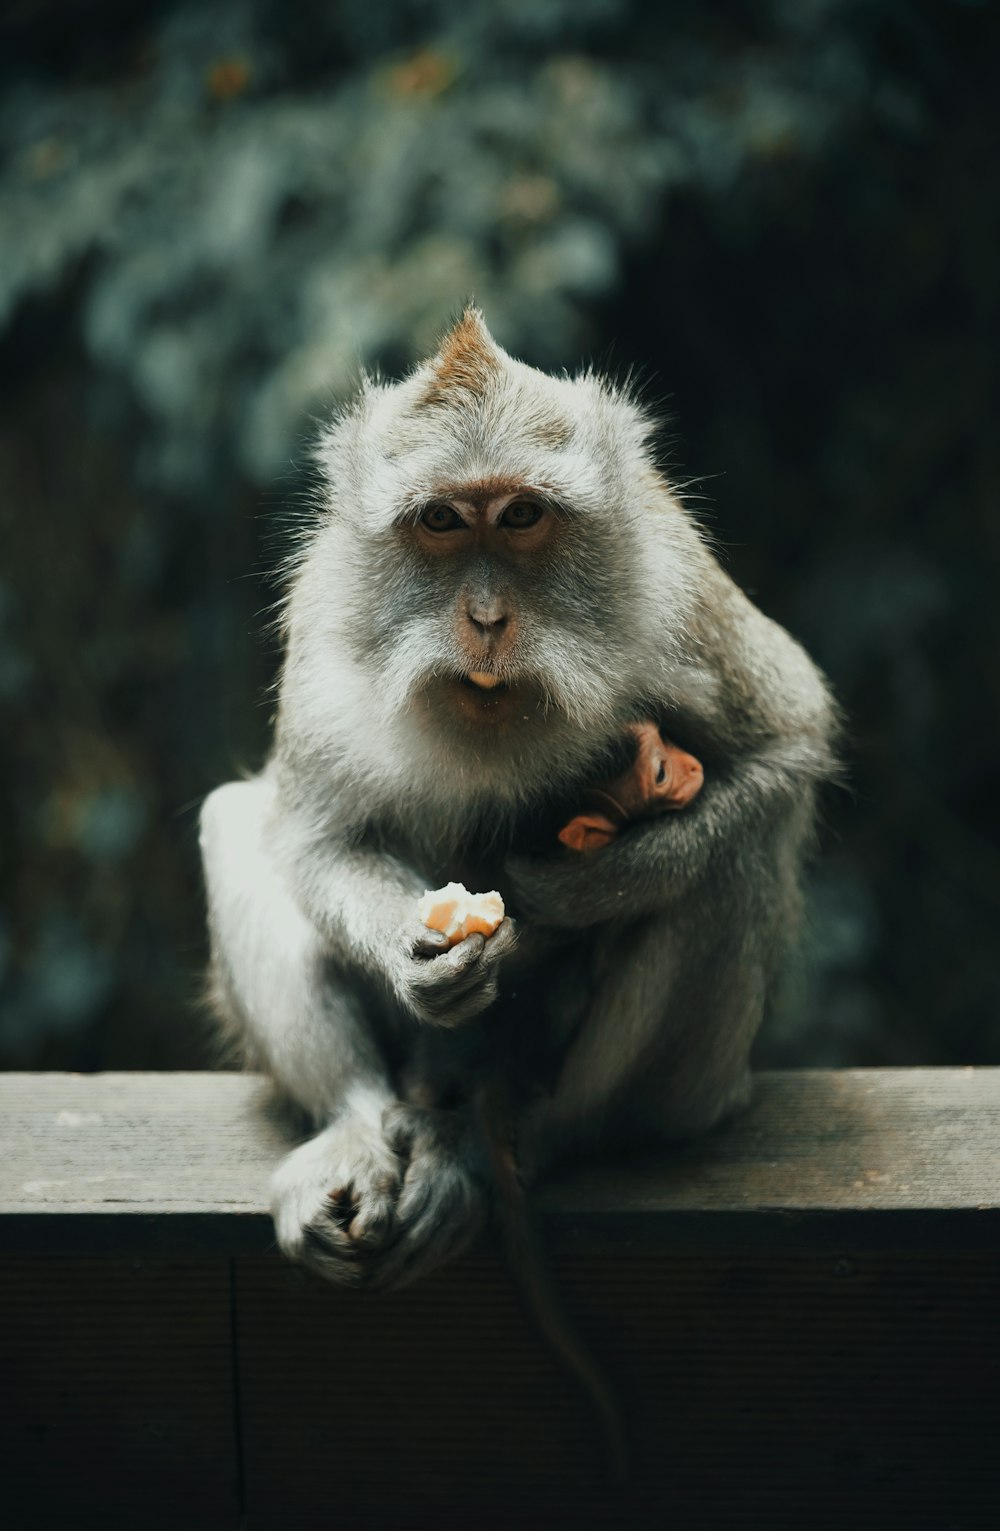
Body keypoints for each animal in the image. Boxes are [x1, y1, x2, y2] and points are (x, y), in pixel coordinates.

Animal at [197, 304, 833, 1310]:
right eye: (443, 520)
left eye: (523, 515)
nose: (489, 618)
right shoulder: (328, 616)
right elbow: (315, 838)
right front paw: (420, 958)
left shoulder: (672, 588)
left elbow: (789, 742)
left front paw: (572, 895)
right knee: (234, 818)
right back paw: (357, 1121)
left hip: (681, 1094)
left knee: (734, 864)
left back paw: (534, 1136)